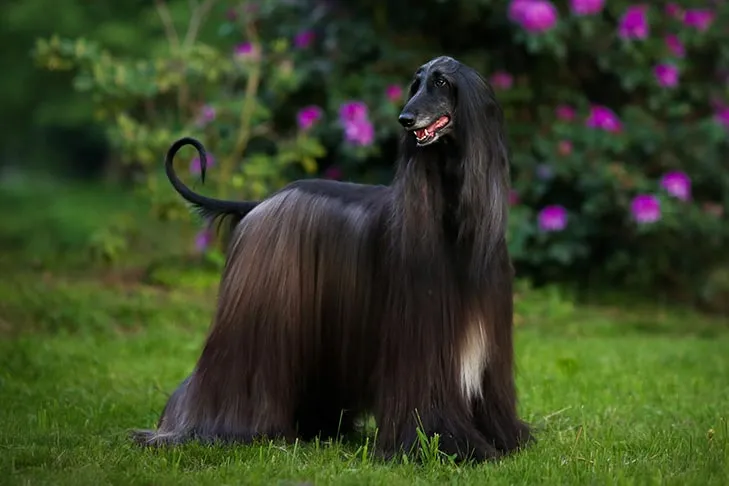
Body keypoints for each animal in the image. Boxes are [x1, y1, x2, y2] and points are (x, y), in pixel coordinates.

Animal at [132, 55, 528, 462]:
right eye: (414, 84)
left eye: (441, 83)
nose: (405, 118)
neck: (453, 219)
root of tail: (260, 202)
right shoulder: (421, 333)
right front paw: (449, 446)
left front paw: (503, 439)